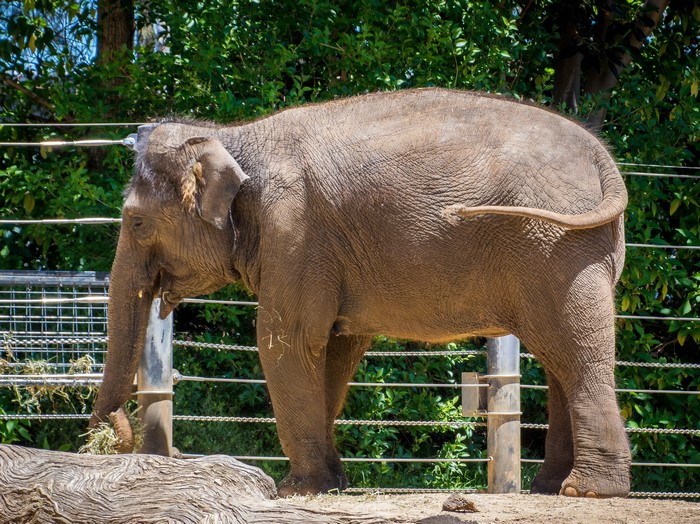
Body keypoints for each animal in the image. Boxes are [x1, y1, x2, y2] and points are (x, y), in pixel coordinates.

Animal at [91, 88, 631, 498]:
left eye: (136, 222)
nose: (112, 438)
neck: (235, 136)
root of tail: (602, 158)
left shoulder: (295, 233)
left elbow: (286, 342)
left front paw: (297, 489)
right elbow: (334, 348)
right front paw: (328, 482)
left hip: (557, 247)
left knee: (575, 353)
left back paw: (586, 491)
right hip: (574, 247)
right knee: (560, 357)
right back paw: (550, 488)